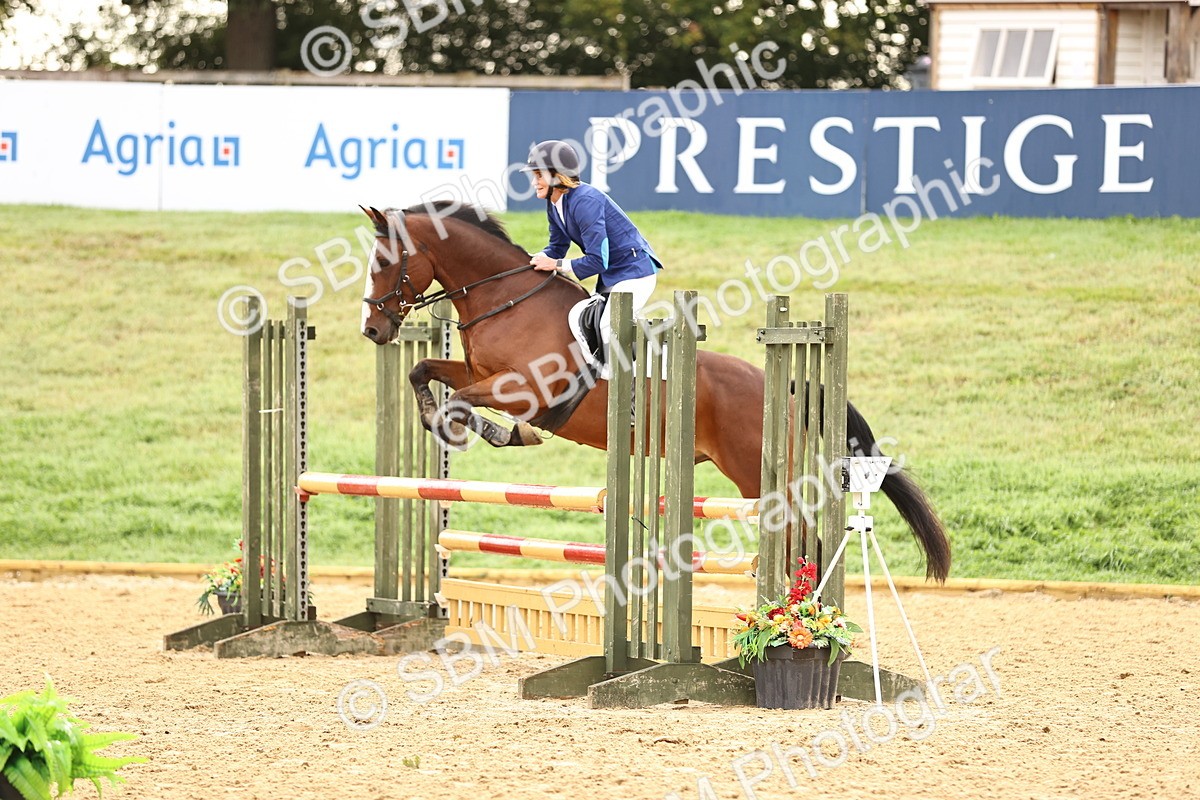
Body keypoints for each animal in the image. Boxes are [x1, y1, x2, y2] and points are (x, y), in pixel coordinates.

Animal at [358, 203, 951, 582]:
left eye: (386, 262)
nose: (373, 330)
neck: (505, 299)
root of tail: (785, 384)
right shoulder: (474, 370)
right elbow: (424, 371)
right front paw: (438, 418)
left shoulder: (523, 388)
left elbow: (465, 403)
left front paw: (485, 431)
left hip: (757, 477)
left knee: (798, 542)